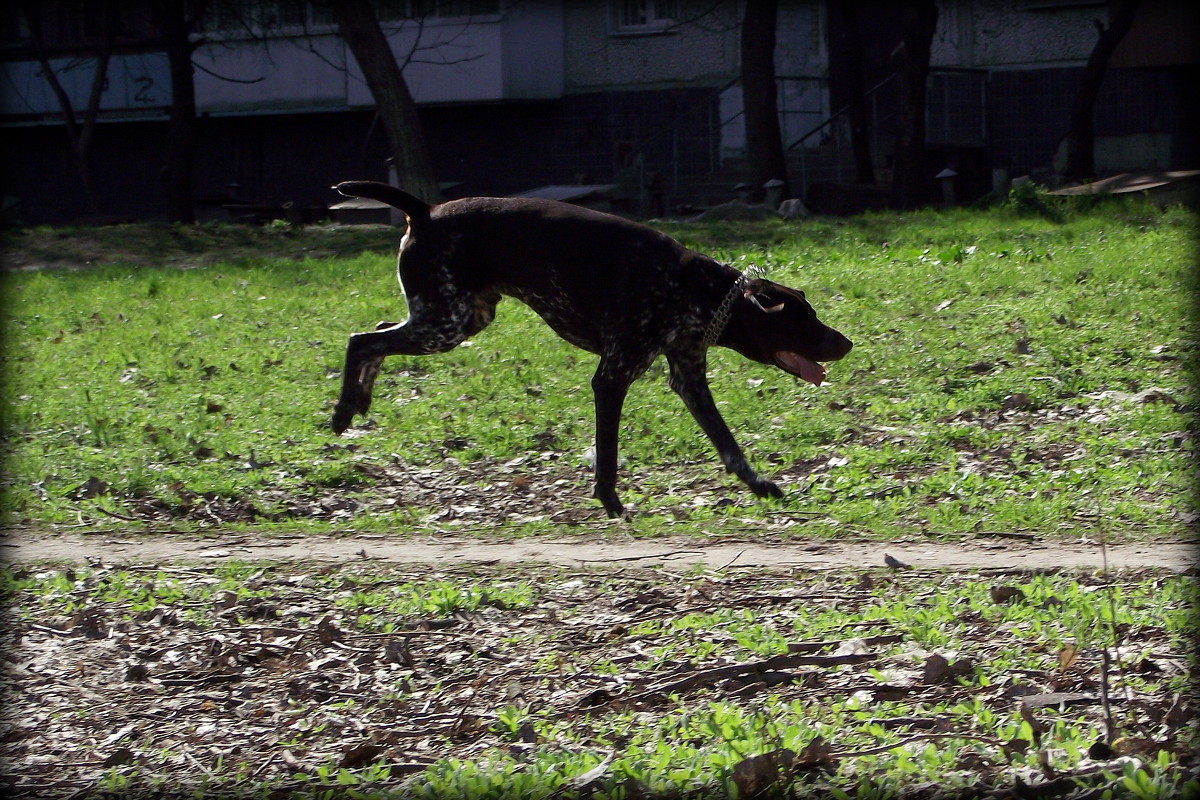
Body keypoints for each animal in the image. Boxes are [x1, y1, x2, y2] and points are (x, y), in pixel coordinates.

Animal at [333, 179, 849, 520]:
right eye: (803, 321)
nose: (846, 343)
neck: (693, 287)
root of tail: (422, 211)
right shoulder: (613, 377)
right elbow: (608, 456)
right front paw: (611, 502)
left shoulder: (689, 380)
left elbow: (729, 446)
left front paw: (759, 485)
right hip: (446, 324)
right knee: (362, 340)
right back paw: (342, 411)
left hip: (458, 319)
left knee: (377, 335)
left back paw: (359, 400)